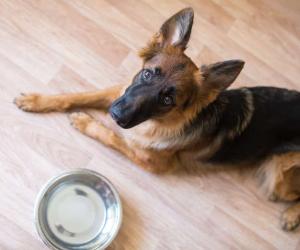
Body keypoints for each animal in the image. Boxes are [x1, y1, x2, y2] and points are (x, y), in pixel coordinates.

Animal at [14, 7, 300, 230]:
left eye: (167, 100)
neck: (158, 123)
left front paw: (86, 123)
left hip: (277, 175)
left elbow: (113, 137)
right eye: (148, 74)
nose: (116, 115)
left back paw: (292, 216)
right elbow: (79, 94)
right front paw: (37, 100)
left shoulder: (153, 163)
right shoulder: (118, 93)